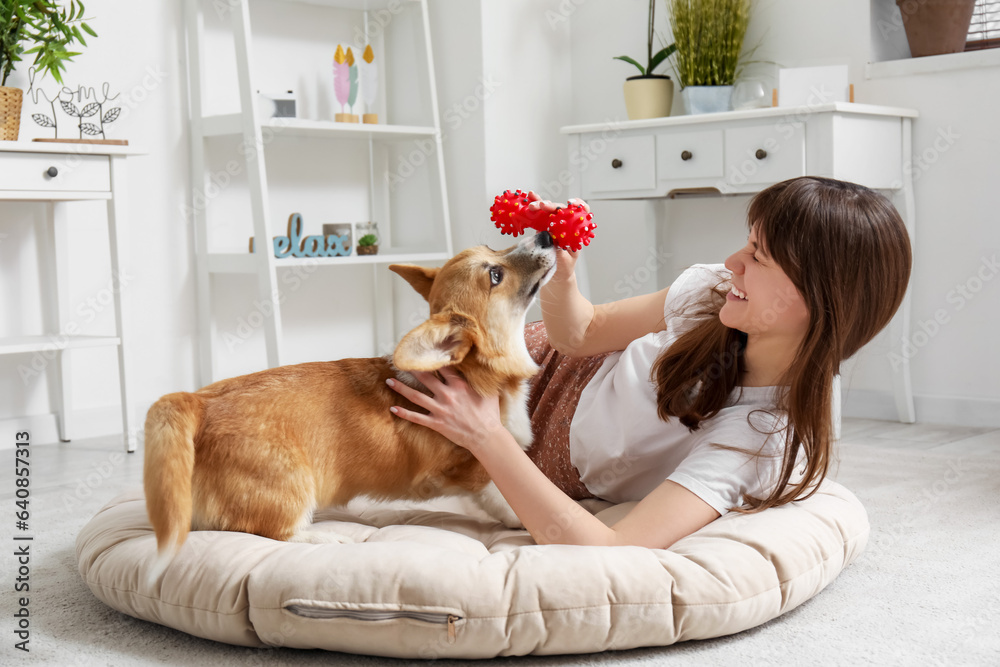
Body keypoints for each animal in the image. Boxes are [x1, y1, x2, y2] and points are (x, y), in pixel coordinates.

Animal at [145, 232, 560, 580]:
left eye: (491, 247)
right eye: (495, 275)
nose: (545, 234)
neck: (472, 372)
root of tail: (197, 401)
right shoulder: (476, 467)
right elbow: (502, 498)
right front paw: (521, 520)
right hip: (293, 484)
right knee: (269, 531)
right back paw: (323, 538)